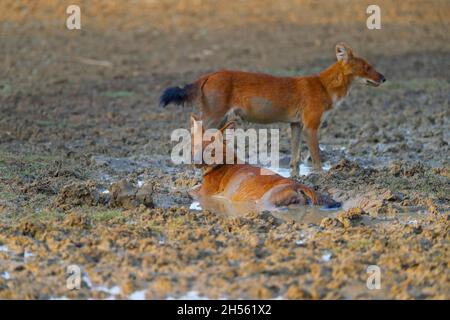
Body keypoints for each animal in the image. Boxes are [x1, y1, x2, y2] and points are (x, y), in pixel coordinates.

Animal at [160, 42, 384, 176]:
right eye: (367, 67)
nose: (384, 78)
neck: (323, 86)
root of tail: (209, 74)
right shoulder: (311, 126)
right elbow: (317, 158)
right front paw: (322, 176)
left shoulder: (296, 125)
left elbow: (295, 158)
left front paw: (296, 176)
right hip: (213, 118)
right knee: (195, 136)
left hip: (222, 120)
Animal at [188, 115, 340, 210]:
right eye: (195, 146)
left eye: (211, 150)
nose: (196, 162)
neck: (222, 163)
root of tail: (299, 185)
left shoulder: (205, 193)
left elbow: (190, 190)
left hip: (266, 201)